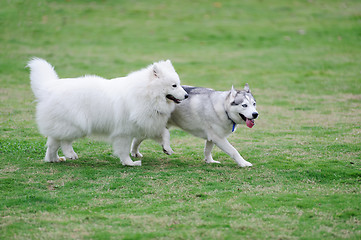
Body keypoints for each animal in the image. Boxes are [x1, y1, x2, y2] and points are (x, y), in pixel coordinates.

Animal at [27, 58, 188, 167]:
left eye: (179, 84)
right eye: (174, 85)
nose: (186, 95)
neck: (147, 94)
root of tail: (49, 88)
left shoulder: (147, 124)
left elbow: (165, 134)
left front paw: (167, 148)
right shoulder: (124, 133)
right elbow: (123, 151)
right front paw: (130, 163)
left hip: (63, 126)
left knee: (52, 144)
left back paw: (54, 159)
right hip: (77, 125)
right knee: (64, 142)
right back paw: (69, 154)